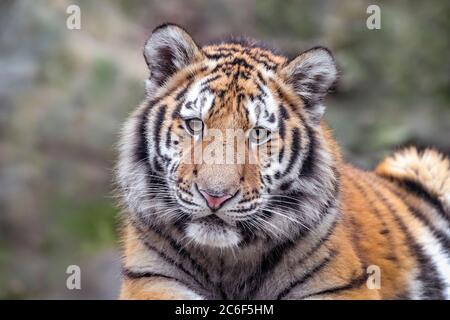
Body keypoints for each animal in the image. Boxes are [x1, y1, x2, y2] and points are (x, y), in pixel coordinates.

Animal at [116, 23, 450, 300]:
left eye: (259, 133)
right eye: (195, 125)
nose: (215, 197)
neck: (226, 262)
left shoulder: (338, 286)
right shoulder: (151, 277)